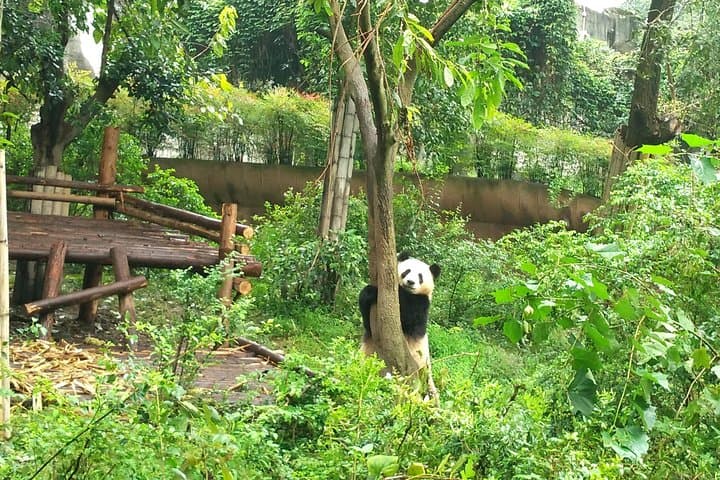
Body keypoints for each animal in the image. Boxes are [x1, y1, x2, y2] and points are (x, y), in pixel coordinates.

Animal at [358, 252, 441, 395]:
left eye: (420, 276)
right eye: (407, 271)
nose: (410, 282)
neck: (408, 292)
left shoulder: (421, 304)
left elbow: (408, 317)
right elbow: (368, 323)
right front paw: (369, 292)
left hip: (420, 369)